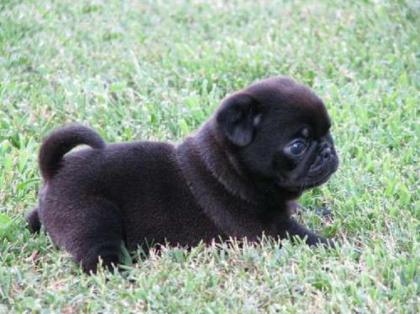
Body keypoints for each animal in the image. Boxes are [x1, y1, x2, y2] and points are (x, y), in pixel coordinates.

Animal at [27, 76, 338, 272]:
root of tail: (54, 169)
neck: (229, 168)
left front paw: (324, 212)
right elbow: (307, 238)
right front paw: (339, 244)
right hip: (93, 216)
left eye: (328, 131)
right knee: (97, 259)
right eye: (297, 146)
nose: (327, 150)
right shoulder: (270, 231)